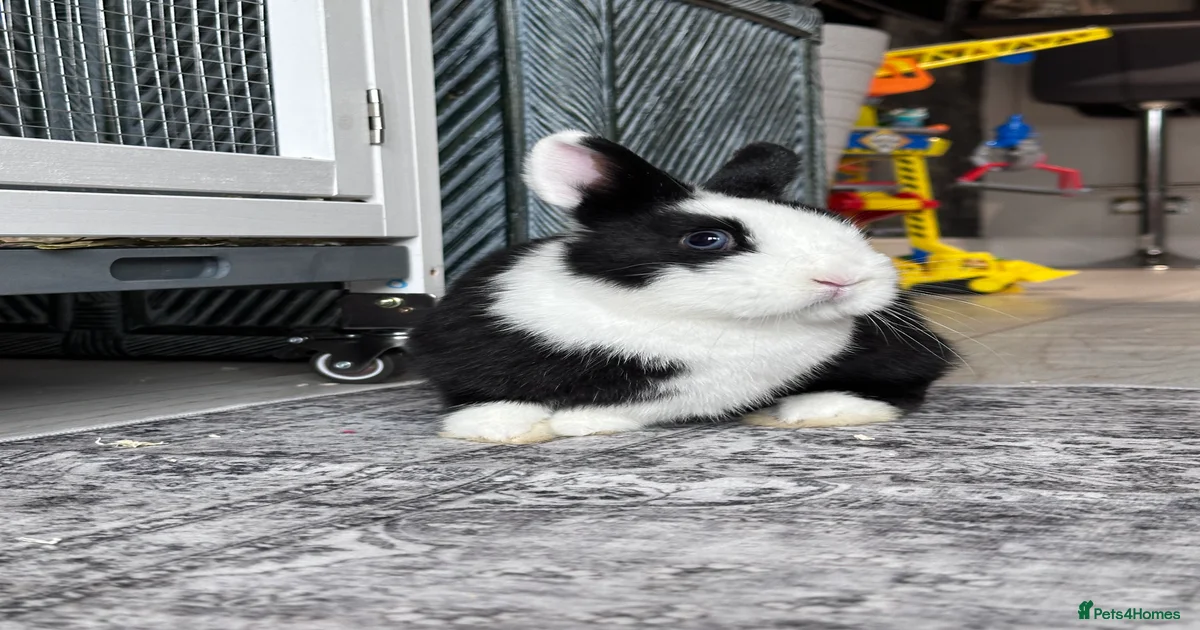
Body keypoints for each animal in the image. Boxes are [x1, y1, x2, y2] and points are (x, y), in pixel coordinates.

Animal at [408, 131, 956, 443]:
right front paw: (499, 427)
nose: (843, 276)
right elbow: (474, 394)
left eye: (829, 218)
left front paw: (583, 422)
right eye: (707, 239)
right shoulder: (459, 343)